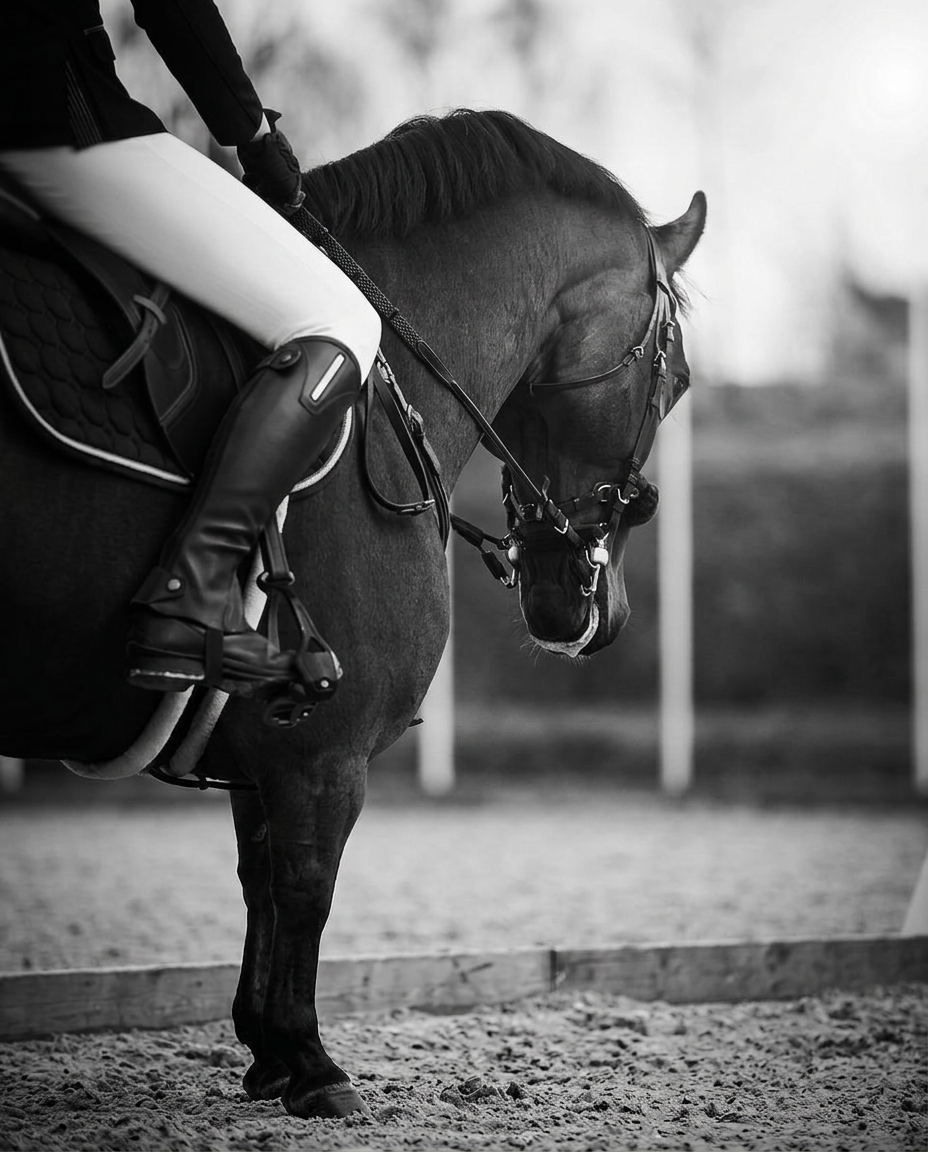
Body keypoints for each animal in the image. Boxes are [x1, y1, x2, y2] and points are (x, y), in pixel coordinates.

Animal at [0, 109, 705, 1118]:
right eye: (674, 378)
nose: (589, 611)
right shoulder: (321, 752)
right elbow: (306, 885)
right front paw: (310, 1062)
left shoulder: (264, 751)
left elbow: (260, 881)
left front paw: (266, 1052)